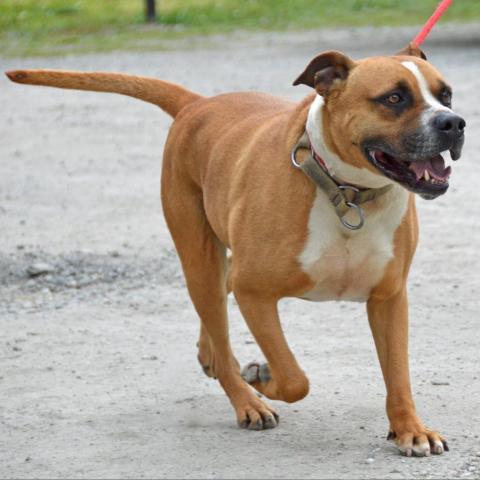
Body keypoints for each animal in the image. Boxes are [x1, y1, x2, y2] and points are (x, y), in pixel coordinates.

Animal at [6, 42, 464, 458]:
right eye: (394, 98)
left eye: (446, 95)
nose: (454, 123)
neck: (345, 191)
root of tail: (196, 104)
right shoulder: (255, 292)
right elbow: (294, 378)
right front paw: (261, 378)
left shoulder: (389, 298)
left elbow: (398, 374)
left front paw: (410, 430)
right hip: (199, 259)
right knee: (221, 326)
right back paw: (247, 400)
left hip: (216, 264)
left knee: (218, 304)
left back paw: (212, 355)